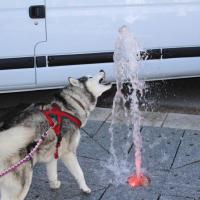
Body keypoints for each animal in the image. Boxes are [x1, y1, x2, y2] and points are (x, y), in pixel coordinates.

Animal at [0, 70, 111, 200]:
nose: (102, 69)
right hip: (22, 185)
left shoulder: (53, 152)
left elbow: (52, 172)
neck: (69, 107)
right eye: (89, 77)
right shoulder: (69, 153)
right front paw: (85, 188)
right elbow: (80, 172)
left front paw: (54, 184)